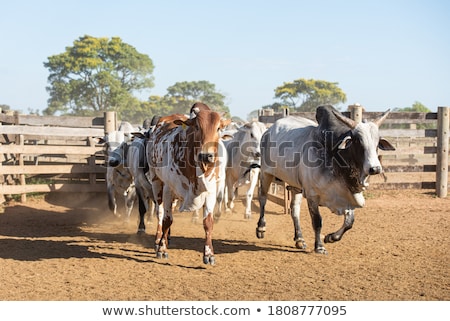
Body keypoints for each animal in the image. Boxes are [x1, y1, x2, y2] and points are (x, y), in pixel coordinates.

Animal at [148, 107, 230, 262]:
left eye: (218, 128)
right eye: (197, 126)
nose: (206, 156)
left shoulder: (210, 191)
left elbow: (208, 222)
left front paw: (209, 254)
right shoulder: (168, 189)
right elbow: (167, 220)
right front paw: (162, 248)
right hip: (156, 182)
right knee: (160, 213)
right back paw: (158, 240)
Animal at [256, 105, 394, 255]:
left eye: (377, 142)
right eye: (357, 140)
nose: (375, 168)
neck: (334, 155)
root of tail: (268, 131)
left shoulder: (346, 195)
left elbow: (349, 222)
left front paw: (331, 237)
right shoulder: (312, 195)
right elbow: (317, 222)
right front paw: (319, 246)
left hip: (295, 185)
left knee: (294, 210)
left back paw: (299, 239)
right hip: (265, 173)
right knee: (263, 198)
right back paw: (261, 228)